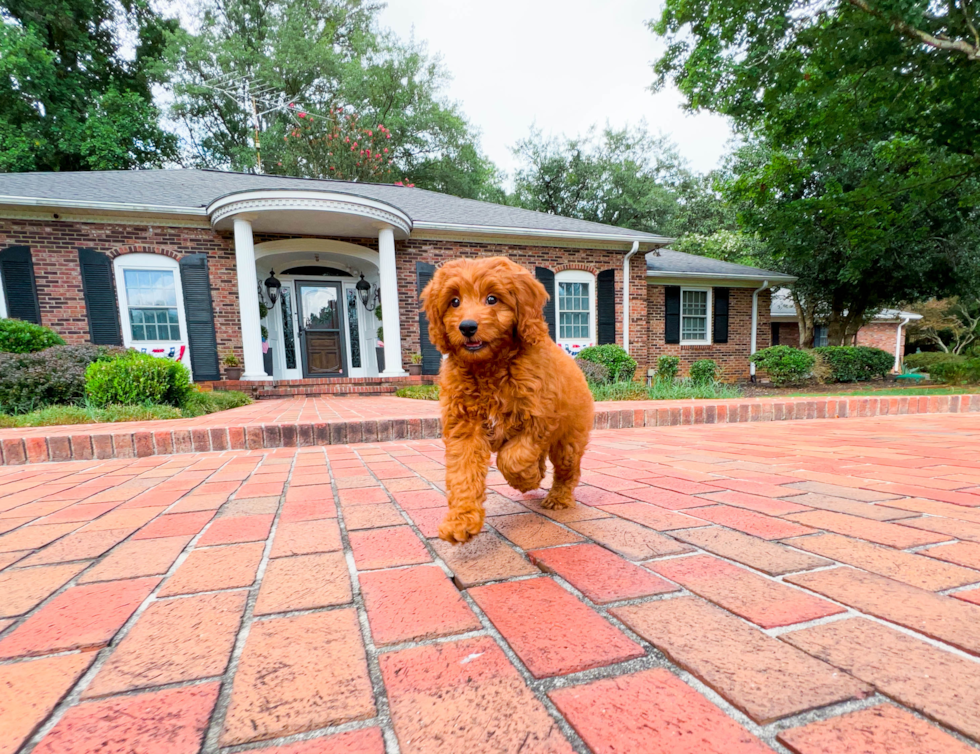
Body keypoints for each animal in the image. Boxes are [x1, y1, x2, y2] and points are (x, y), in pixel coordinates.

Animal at [420, 256, 592, 544]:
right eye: (454, 302)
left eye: (492, 299)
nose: (467, 327)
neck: (489, 367)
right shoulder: (463, 427)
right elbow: (463, 473)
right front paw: (460, 520)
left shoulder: (540, 418)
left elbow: (512, 457)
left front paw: (527, 481)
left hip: (569, 438)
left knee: (568, 470)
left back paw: (558, 497)